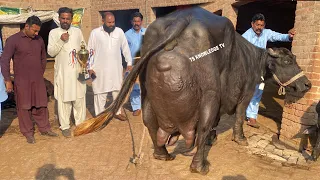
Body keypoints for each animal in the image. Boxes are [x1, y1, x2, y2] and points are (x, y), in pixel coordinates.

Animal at [74, 7, 310, 174]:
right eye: (288, 60)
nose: (307, 84)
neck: (252, 58)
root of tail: (182, 18)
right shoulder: (245, 93)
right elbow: (237, 117)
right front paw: (240, 138)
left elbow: (216, 122)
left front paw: (213, 138)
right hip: (210, 94)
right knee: (202, 125)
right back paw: (200, 166)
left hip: (147, 95)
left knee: (150, 123)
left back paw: (163, 155)